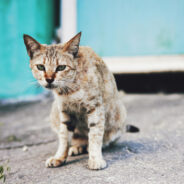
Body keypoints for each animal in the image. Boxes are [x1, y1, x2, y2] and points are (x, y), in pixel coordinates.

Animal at [23, 32, 136, 170]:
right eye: (40, 67)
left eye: (61, 67)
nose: (49, 79)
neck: (69, 89)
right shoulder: (64, 111)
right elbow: (64, 137)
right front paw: (59, 157)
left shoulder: (95, 108)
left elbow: (95, 135)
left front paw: (95, 158)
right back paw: (76, 147)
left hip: (119, 117)